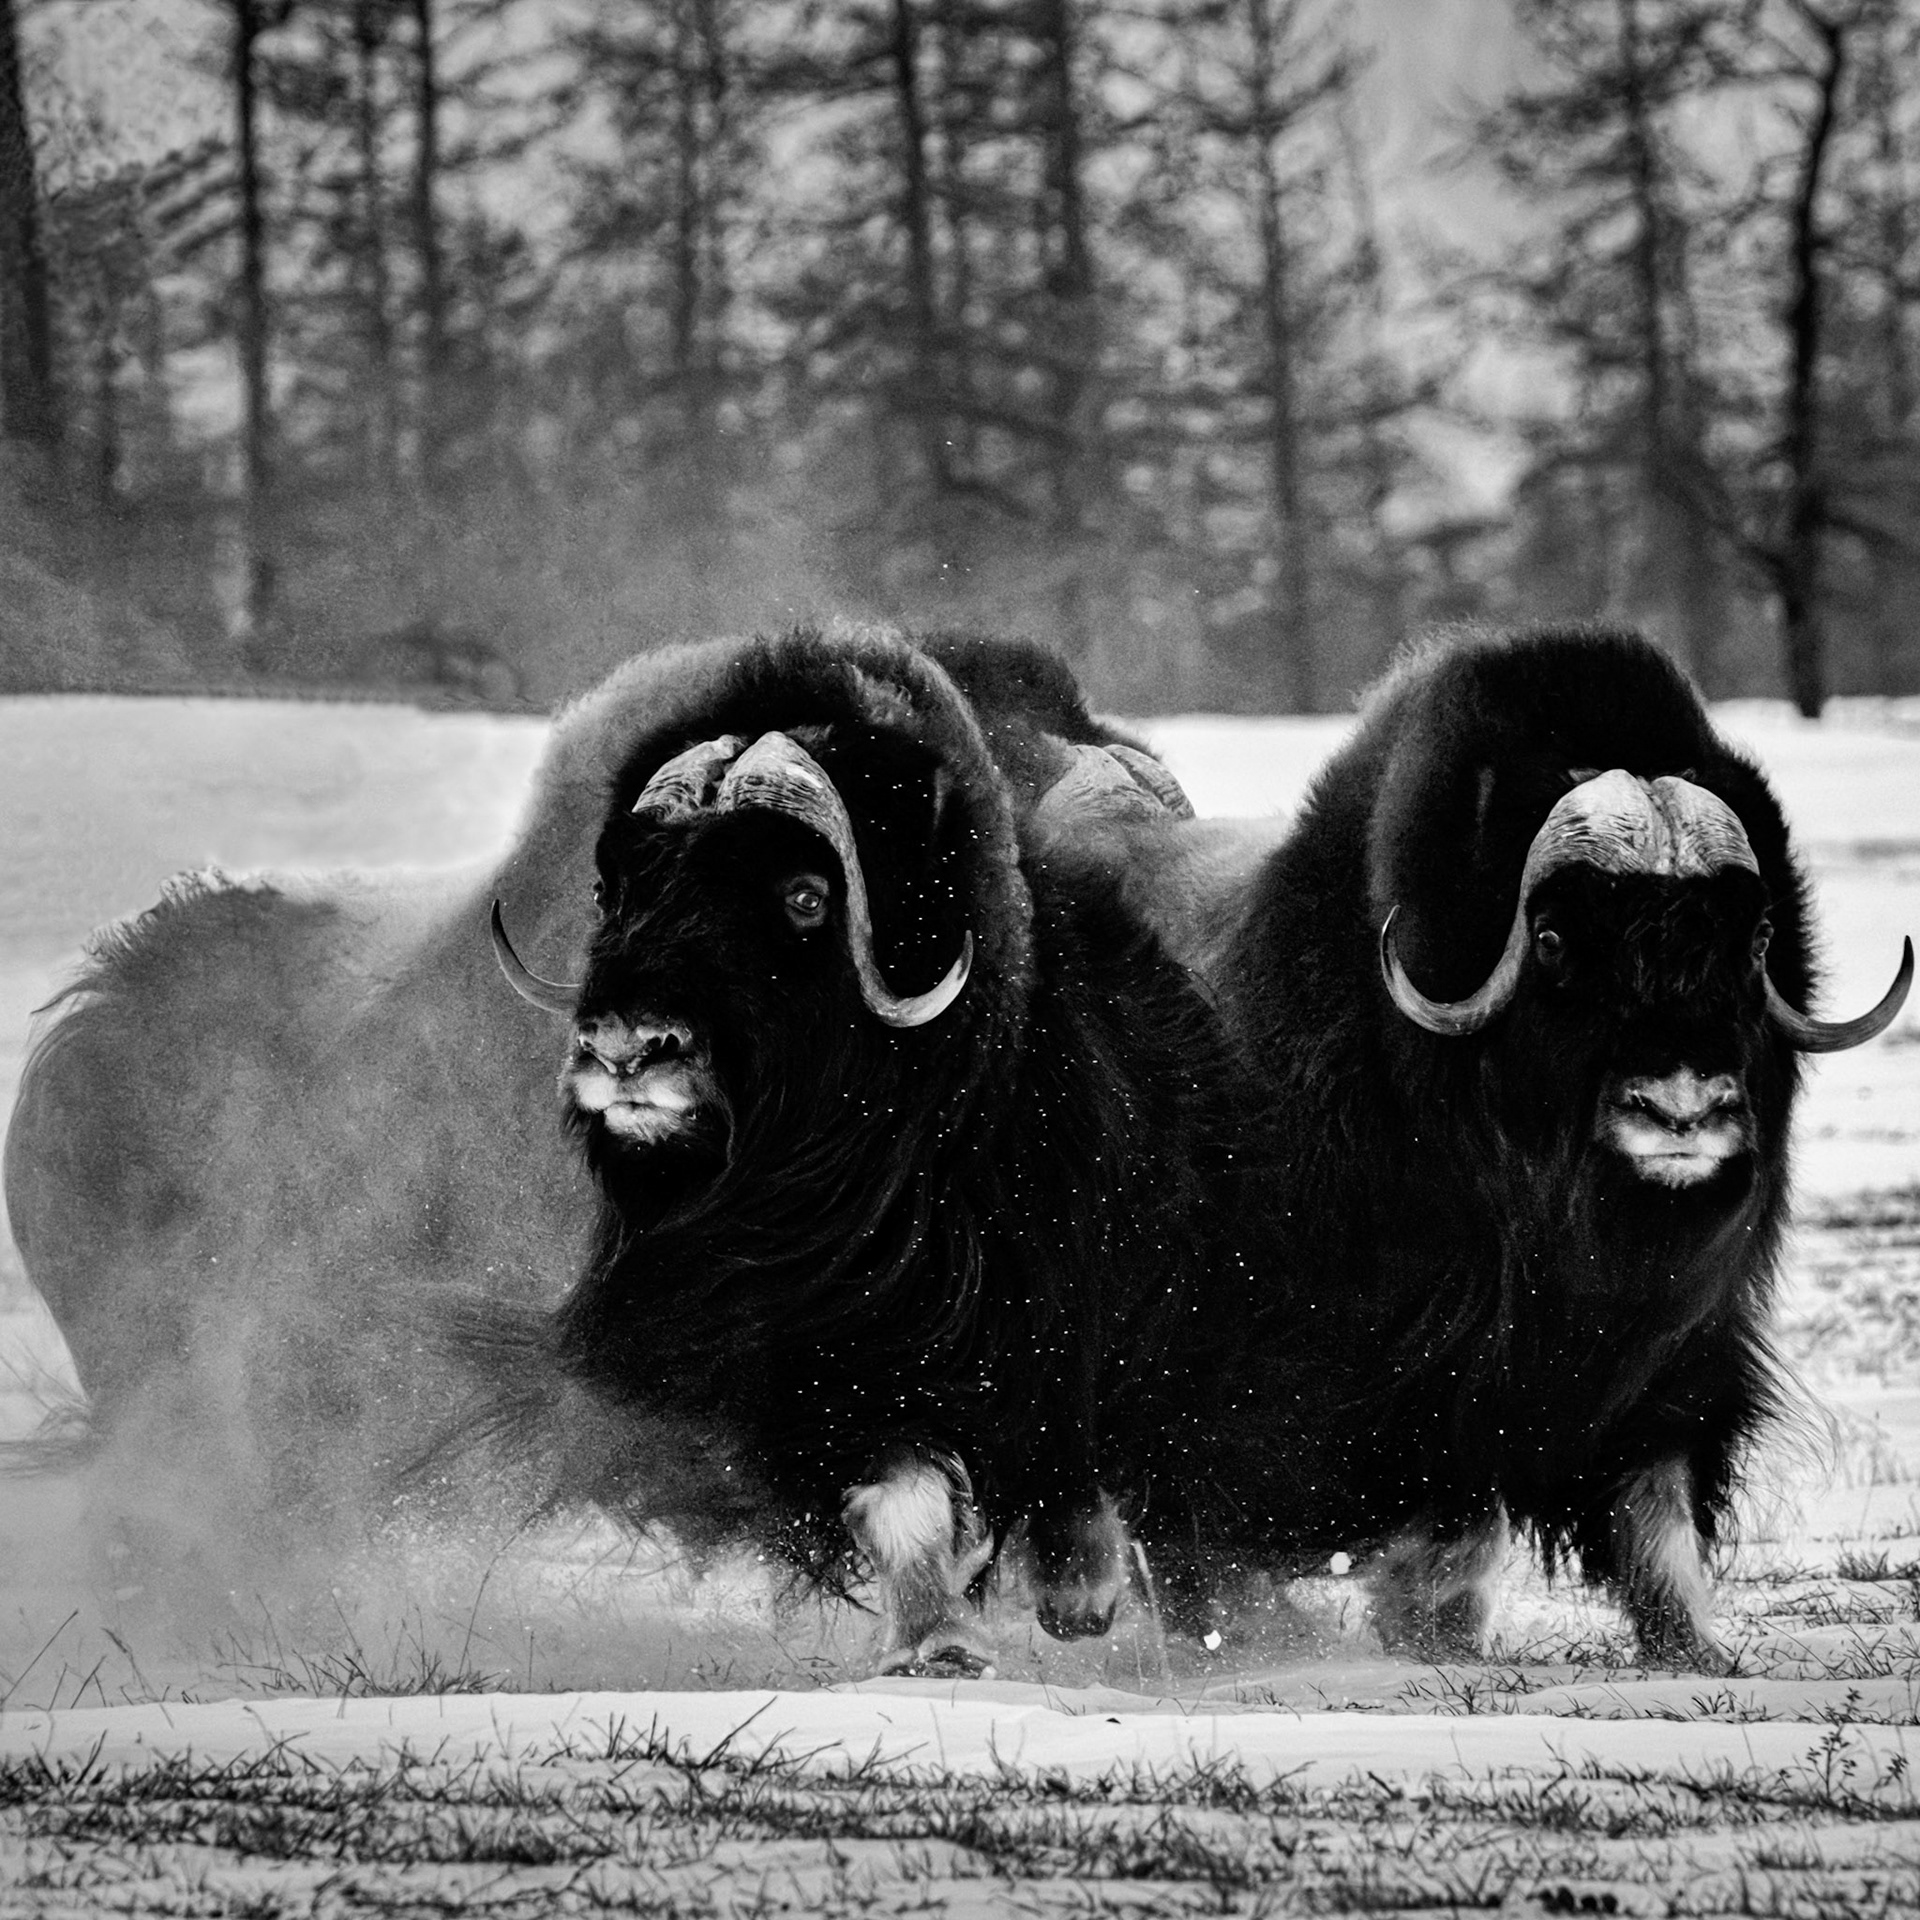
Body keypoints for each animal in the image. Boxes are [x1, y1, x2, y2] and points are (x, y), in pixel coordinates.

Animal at [474, 625, 1250, 1673]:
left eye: (805, 897)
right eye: (617, 888)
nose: (626, 1049)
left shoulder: (1057, 1292)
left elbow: (1066, 1434)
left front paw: (1073, 1596)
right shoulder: (815, 1358)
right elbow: (898, 1483)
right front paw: (935, 1641)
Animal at [1092, 626, 1912, 1670]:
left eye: (1753, 934)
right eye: (1555, 938)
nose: (1682, 1109)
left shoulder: (1669, 1361)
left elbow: (1653, 1511)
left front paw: (1693, 1650)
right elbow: (1435, 1511)